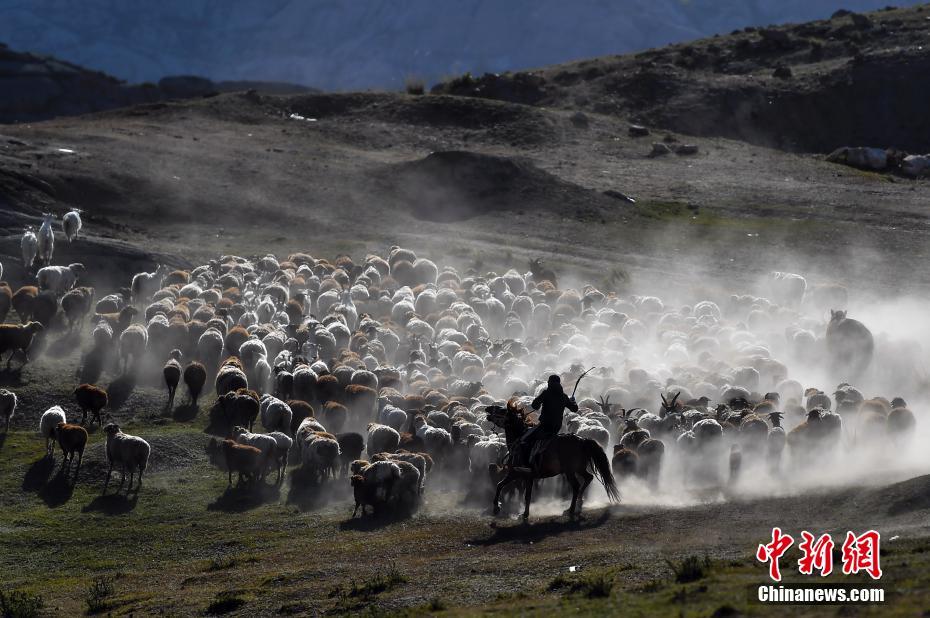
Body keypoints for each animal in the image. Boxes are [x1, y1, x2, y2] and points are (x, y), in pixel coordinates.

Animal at [482, 400, 620, 520]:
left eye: (502, 410)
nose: (488, 408)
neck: (519, 440)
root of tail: (582, 440)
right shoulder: (519, 474)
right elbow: (503, 486)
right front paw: (502, 509)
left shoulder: (523, 474)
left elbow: (522, 493)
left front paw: (517, 512)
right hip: (579, 468)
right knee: (588, 478)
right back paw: (579, 503)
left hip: (570, 471)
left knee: (576, 486)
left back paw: (571, 509)